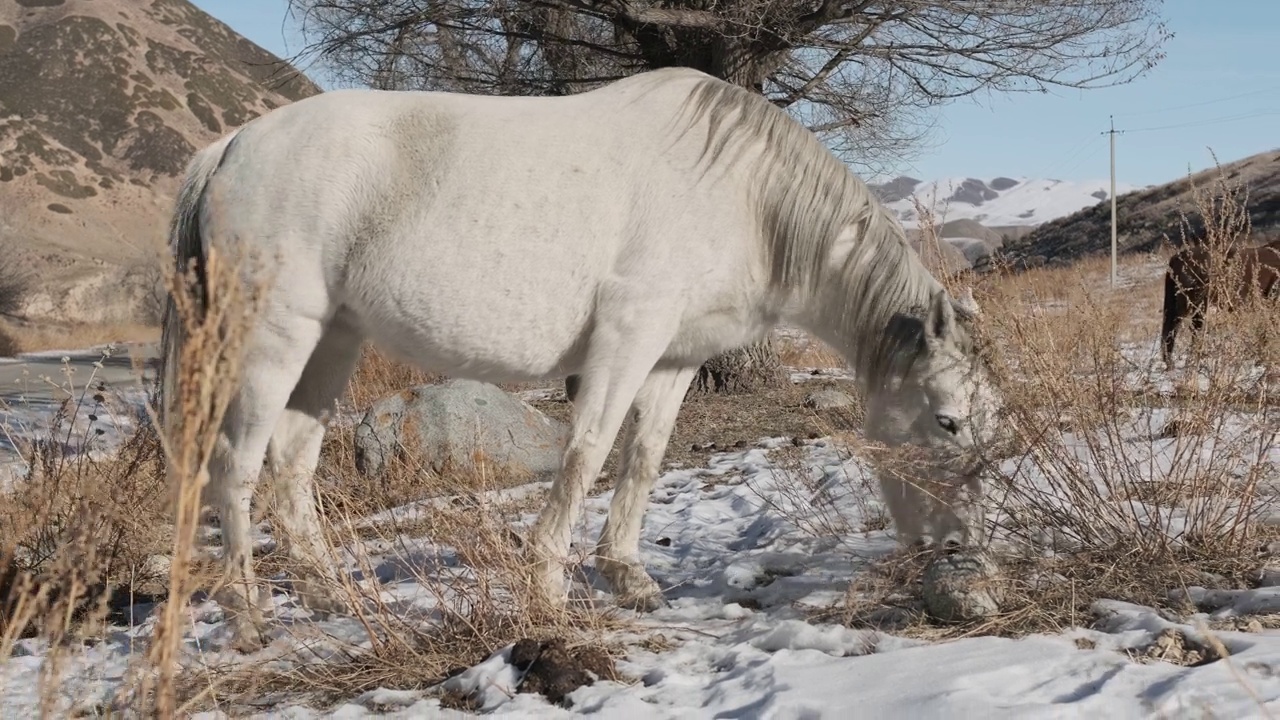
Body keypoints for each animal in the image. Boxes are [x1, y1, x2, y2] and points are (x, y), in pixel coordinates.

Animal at [157, 67, 998, 648]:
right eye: (948, 421)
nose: (960, 546)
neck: (745, 197)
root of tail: (230, 148)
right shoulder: (629, 333)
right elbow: (588, 451)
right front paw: (550, 589)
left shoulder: (672, 358)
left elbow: (645, 457)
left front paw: (629, 576)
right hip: (269, 337)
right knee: (234, 465)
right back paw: (248, 615)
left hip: (333, 340)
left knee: (293, 463)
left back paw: (332, 596)